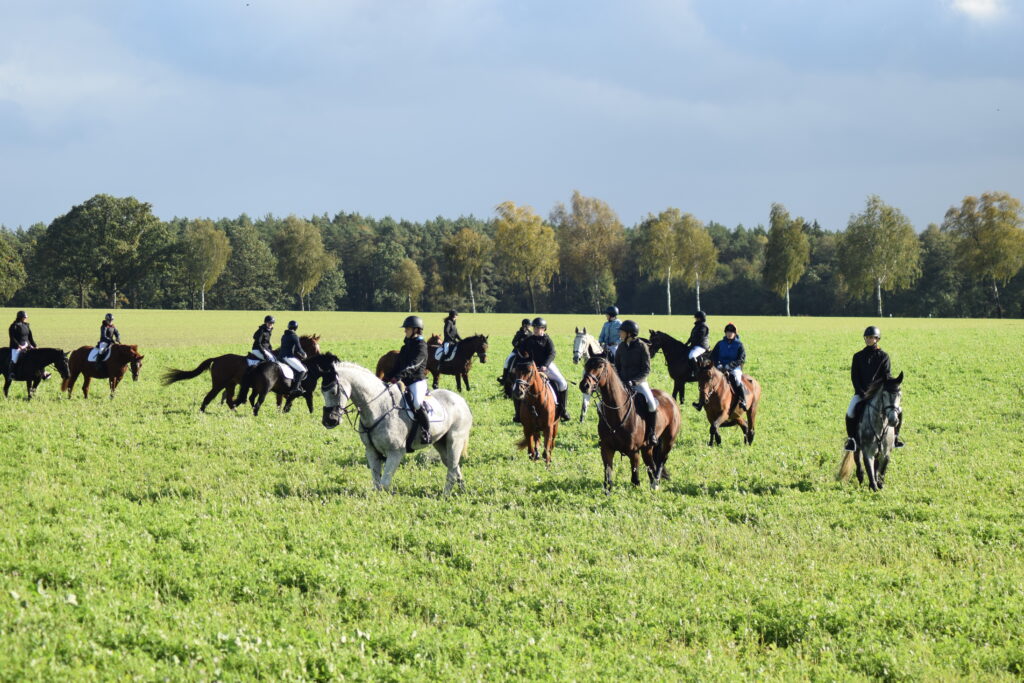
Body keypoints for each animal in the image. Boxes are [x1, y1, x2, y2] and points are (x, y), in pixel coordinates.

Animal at [160, 335, 319, 411]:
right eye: (313, 346)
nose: (318, 355)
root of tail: (216, 358)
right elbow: (282, 399)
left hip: (230, 384)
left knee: (228, 398)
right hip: (219, 383)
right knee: (212, 397)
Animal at [319, 358, 471, 497]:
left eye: (333, 391)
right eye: (322, 392)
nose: (329, 421)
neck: (379, 408)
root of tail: (461, 400)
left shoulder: (395, 452)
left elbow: (384, 483)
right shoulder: (371, 451)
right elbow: (376, 482)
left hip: (454, 441)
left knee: (452, 469)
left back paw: (446, 496)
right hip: (440, 443)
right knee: (454, 466)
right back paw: (462, 492)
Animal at [581, 358, 684, 491]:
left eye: (599, 366)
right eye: (586, 365)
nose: (584, 386)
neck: (618, 412)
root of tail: (670, 399)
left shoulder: (633, 451)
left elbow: (635, 478)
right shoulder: (606, 448)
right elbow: (608, 472)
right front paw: (607, 492)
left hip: (669, 440)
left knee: (661, 459)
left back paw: (655, 482)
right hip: (647, 447)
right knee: (650, 462)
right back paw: (653, 482)